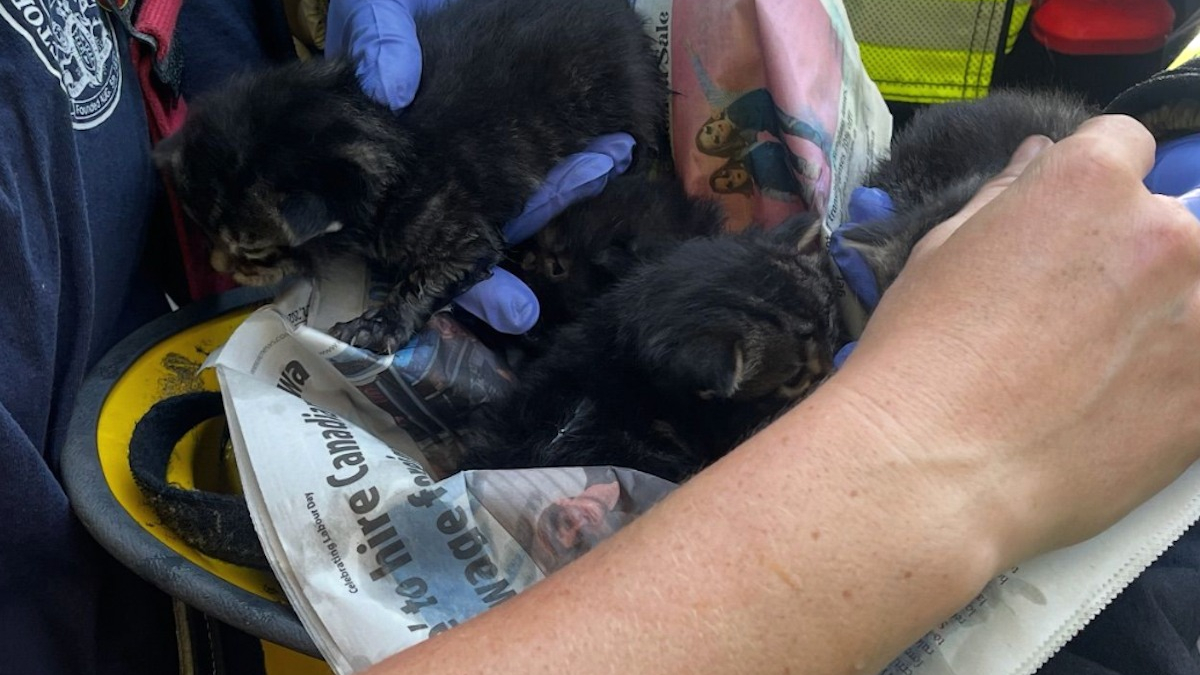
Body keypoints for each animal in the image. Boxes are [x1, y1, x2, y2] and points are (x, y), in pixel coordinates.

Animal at [152, 0, 667, 353]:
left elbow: (427, 278)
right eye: (202, 233)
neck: (375, 127)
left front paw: (377, 326)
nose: (219, 266)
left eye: (253, 249)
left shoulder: (458, 230)